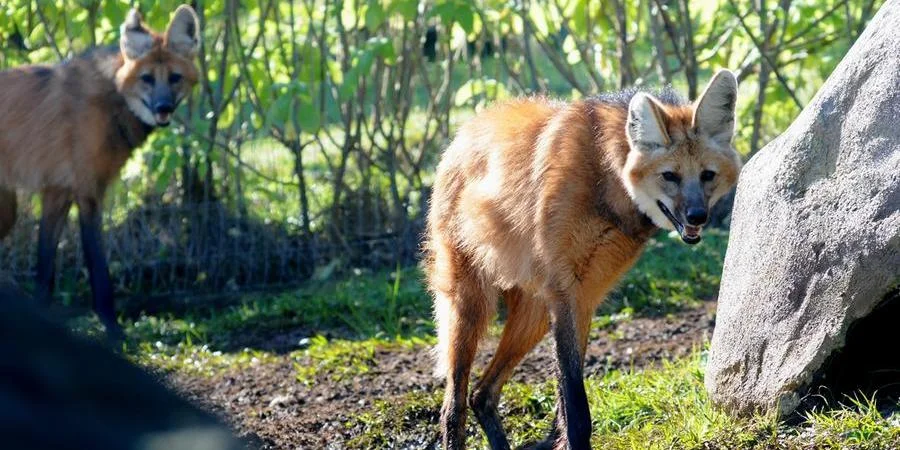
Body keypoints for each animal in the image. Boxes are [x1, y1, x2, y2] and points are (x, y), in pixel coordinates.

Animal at [0, 6, 200, 338]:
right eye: (147, 79)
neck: (114, 100)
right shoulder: (88, 191)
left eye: (175, 78)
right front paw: (114, 333)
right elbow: (98, 268)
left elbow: (44, 273)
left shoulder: (58, 191)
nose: (163, 107)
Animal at [426, 68, 740, 448]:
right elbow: (575, 403)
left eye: (707, 175)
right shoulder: (566, 293)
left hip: (534, 314)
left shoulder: (585, 296)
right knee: (454, 402)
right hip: (470, 303)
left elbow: (566, 400)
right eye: (670, 176)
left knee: (482, 395)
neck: (607, 181)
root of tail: (463, 132)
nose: (697, 216)